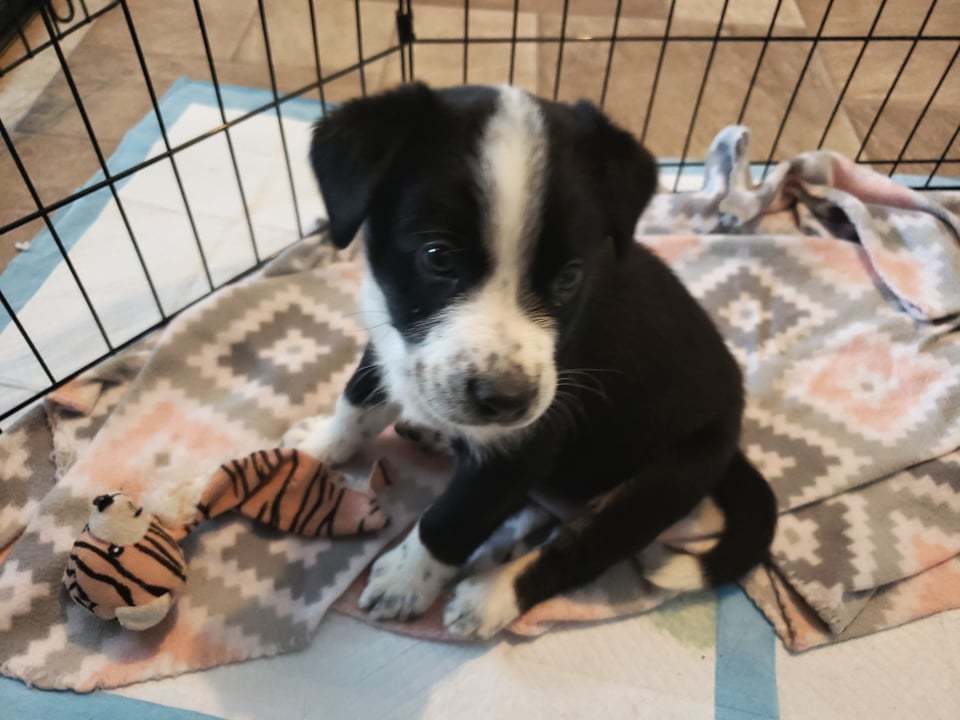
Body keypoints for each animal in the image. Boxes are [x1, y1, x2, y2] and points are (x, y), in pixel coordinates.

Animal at [286, 81, 780, 640]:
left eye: (569, 277)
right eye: (437, 256)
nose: (506, 400)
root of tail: (733, 438)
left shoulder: (529, 440)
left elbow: (452, 518)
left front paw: (406, 581)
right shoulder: (389, 332)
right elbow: (357, 402)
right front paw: (320, 443)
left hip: (663, 481)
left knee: (581, 546)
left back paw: (491, 595)